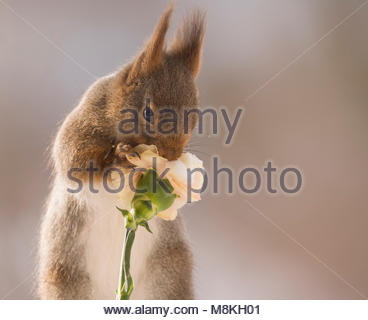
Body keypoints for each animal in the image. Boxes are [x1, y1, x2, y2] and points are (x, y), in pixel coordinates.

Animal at [38, 4, 206, 300]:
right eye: (148, 112)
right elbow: (75, 163)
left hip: (168, 275)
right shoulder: (82, 126)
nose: (171, 156)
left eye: (195, 115)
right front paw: (119, 159)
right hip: (67, 281)